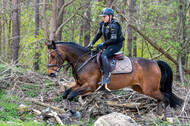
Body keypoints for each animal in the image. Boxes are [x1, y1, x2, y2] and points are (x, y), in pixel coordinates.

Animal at [46, 40, 184, 120]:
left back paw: (168, 118)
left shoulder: (89, 86)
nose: (51, 74)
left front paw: (73, 113)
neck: (83, 60)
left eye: (53, 55)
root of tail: (155, 63)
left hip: (150, 89)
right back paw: (160, 115)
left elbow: (71, 95)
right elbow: (66, 93)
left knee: (166, 97)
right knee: (161, 98)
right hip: (142, 89)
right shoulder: (78, 84)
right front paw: (67, 111)